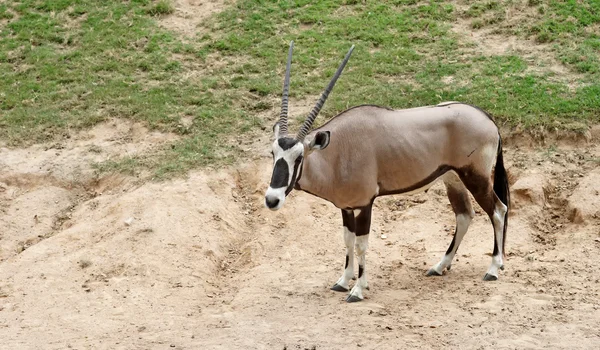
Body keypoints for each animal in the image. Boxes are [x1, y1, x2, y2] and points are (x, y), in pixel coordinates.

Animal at [264, 42, 508, 302]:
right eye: (273, 153)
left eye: (299, 157)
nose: (272, 199)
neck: (337, 153)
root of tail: (489, 120)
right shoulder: (346, 207)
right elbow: (348, 240)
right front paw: (342, 281)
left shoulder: (364, 204)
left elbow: (361, 244)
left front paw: (358, 290)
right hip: (453, 178)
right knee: (464, 215)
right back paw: (440, 266)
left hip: (475, 177)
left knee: (498, 210)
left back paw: (493, 268)